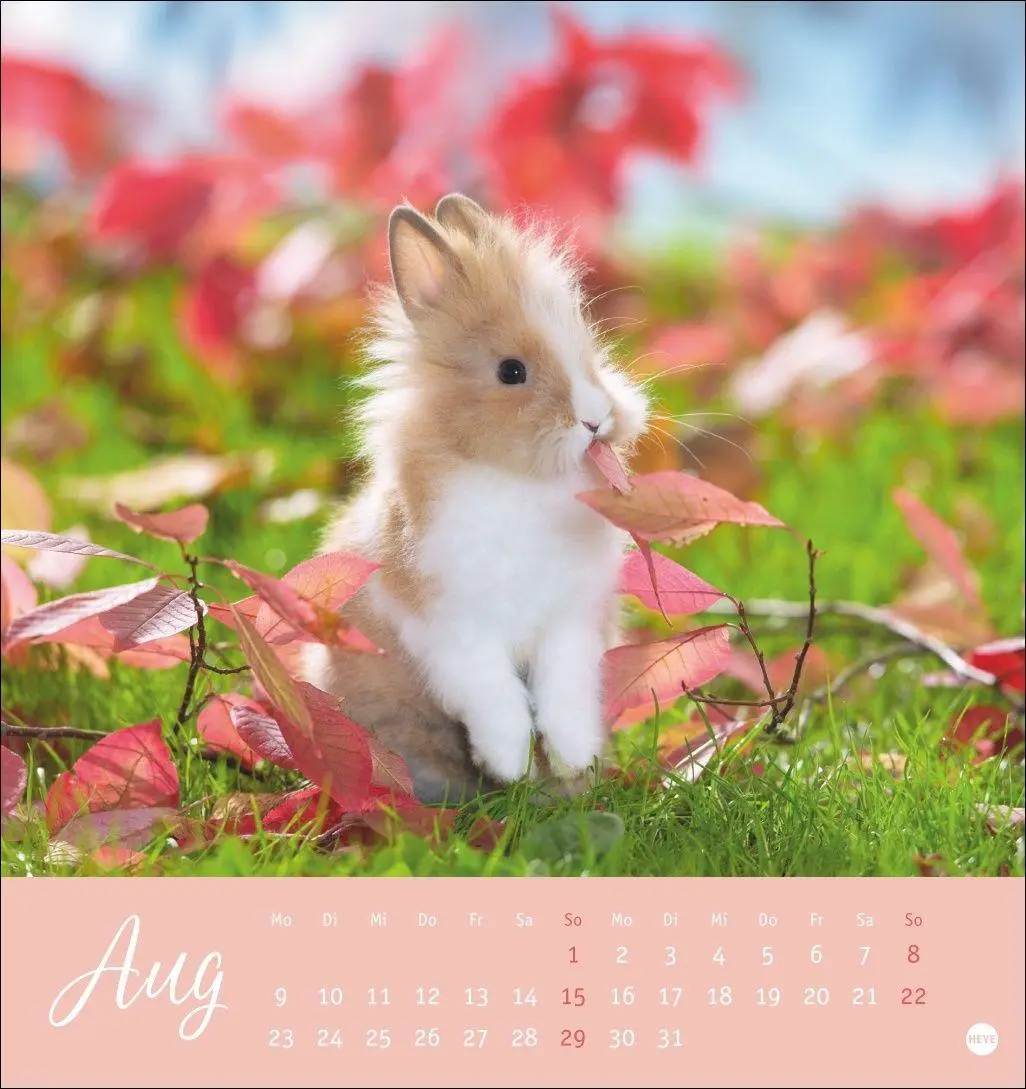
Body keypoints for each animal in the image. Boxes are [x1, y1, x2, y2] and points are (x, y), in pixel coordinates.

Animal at [303, 194, 648, 804]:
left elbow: (565, 692)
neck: (520, 482)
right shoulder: (450, 624)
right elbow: (493, 693)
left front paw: (571, 758)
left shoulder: (570, 620)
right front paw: (509, 762)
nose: (596, 419)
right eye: (511, 371)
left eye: (589, 356)